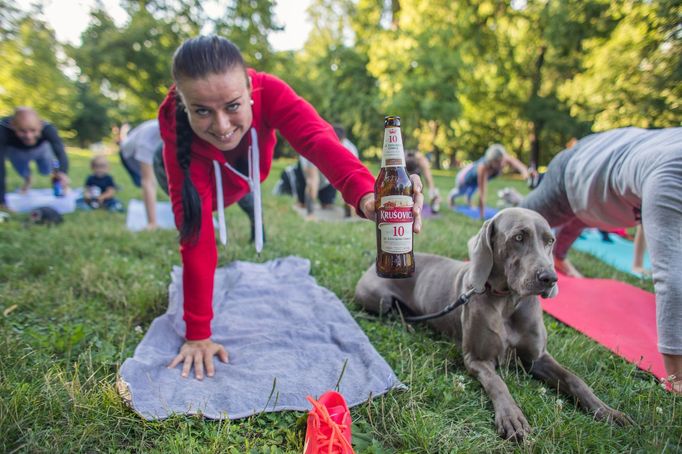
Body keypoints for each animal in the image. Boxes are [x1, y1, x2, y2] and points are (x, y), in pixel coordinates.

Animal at [354, 207, 628, 440]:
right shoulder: (476, 359)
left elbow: (575, 379)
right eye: (519, 237)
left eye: (550, 241)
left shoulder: (538, 357)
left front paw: (607, 411)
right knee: (391, 314)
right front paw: (512, 417)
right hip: (379, 299)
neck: (508, 301)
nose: (550, 278)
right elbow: (498, 383)